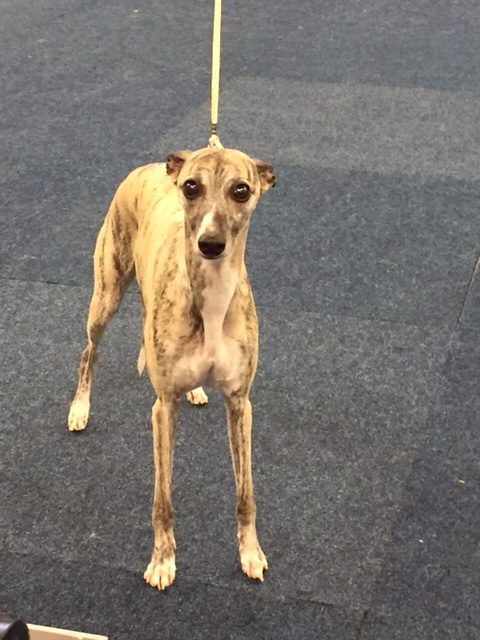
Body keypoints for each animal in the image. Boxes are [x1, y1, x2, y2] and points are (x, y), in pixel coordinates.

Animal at [67, 146, 275, 590]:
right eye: (192, 186)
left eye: (241, 189)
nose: (210, 244)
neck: (211, 297)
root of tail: (150, 167)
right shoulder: (162, 409)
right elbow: (162, 499)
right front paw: (162, 561)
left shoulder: (240, 403)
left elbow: (245, 495)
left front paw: (250, 553)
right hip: (105, 296)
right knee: (89, 352)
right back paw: (79, 409)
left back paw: (195, 390)